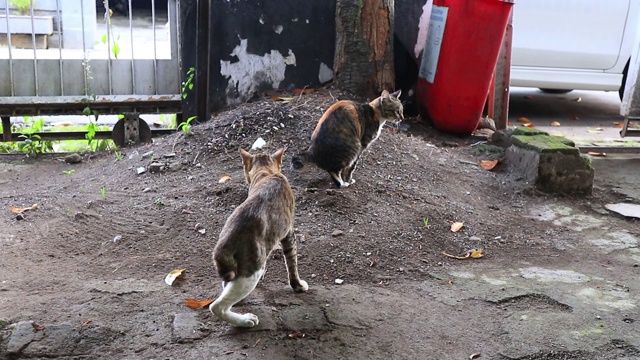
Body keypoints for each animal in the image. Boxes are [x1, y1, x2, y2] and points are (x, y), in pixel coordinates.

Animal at [211, 148, 308, 328]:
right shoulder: (288, 233)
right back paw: (244, 320)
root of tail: (223, 246)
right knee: (217, 306)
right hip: (250, 271)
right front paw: (298, 286)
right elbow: (292, 263)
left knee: (225, 287)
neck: (267, 173)